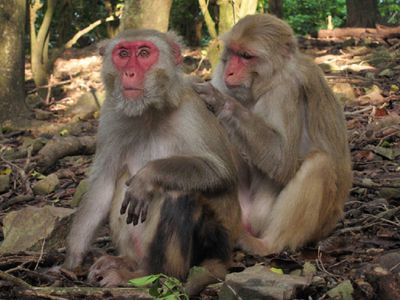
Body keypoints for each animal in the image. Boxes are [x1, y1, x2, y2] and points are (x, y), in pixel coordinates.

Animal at [64, 29, 242, 296]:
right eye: (123, 54)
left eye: (144, 53)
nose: (129, 72)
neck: (148, 112)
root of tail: (225, 255)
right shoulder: (110, 114)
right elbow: (103, 184)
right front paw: (71, 261)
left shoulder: (192, 112)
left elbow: (221, 173)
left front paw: (147, 176)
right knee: (122, 179)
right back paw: (124, 262)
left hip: (214, 241)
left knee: (179, 192)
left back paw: (148, 276)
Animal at [195, 14, 354, 255]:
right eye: (233, 52)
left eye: (246, 56)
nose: (229, 71)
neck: (270, 79)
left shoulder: (286, 91)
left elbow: (283, 162)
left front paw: (221, 102)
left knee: (320, 163)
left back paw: (268, 244)